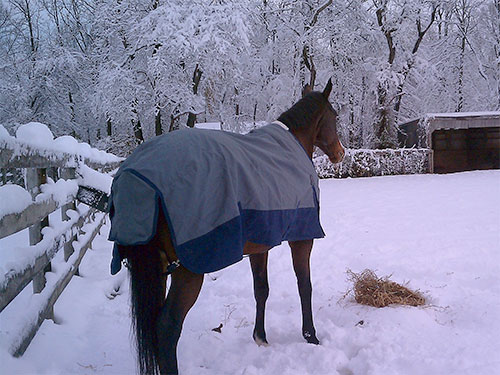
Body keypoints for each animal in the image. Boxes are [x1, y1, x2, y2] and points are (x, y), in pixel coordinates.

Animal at [108, 80, 346, 375]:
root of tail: (134, 177)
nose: (340, 153)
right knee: (166, 328)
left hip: (160, 268)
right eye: (335, 115)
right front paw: (310, 336)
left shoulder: (260, 245)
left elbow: (261, 289)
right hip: (189, 272)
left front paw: (260, 337)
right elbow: (305, 285)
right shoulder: (302, 238)